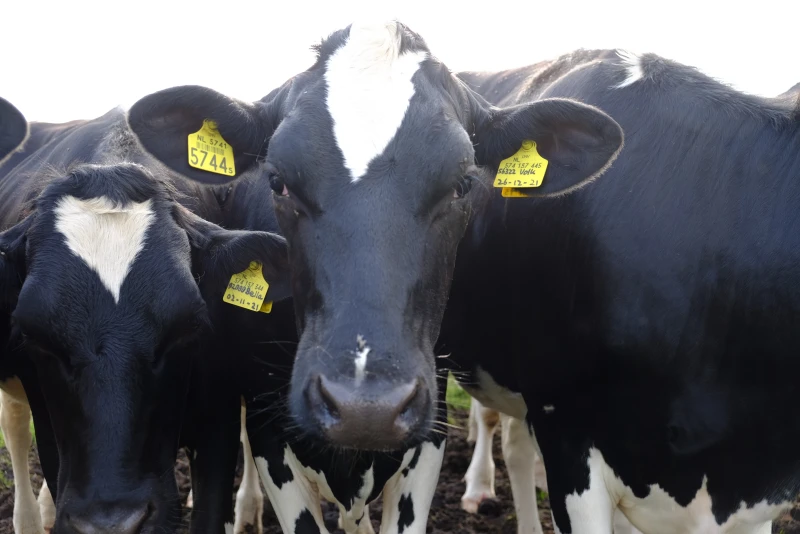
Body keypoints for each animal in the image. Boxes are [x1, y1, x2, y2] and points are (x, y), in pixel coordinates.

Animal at [0, 100, 292, 533]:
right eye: (33, 334)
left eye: (190, 324)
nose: (112, 521)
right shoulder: (51, 429)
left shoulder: (217, 421)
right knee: (16, 429)